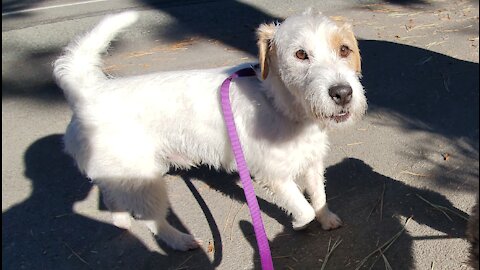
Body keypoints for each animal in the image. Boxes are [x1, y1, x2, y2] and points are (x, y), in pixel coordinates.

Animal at [53, 8, 368, 250]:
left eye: (344, 49)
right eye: (301, 54)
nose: (342, 93)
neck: (277, 102)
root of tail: (89, 92)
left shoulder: (312, 163)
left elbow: (318, 196)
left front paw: (327, 219)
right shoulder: (274, 174)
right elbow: (303, 207)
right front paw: (301, 223)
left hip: (121, 175)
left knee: (113, 198)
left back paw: (121, 221)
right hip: (145, 180)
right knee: (151, 219)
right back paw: (179, 240)